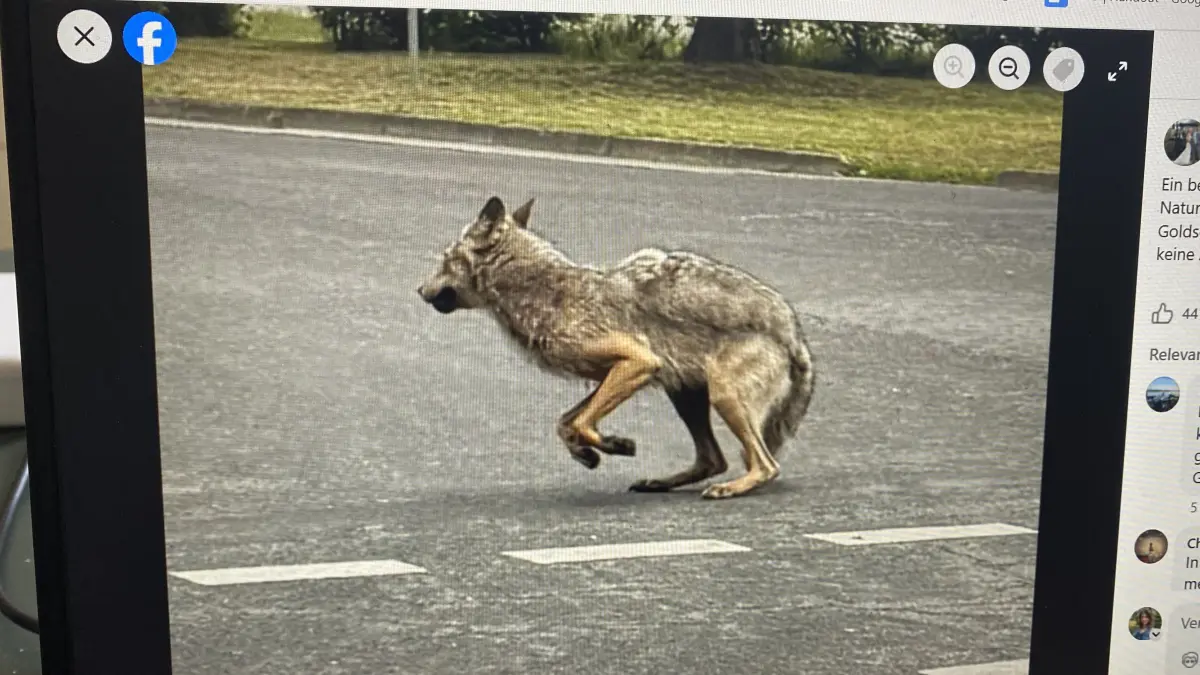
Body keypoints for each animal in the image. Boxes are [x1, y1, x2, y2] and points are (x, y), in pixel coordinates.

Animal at [417, 196, 815, 499]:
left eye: (444, 259)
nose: (419, 290)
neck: (543, 289)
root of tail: (794, 333)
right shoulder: (615, 373)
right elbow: (565, 422)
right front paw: (589, 452)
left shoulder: (639, 362)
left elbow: (581, 420)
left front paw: (611, 444)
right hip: (685, 393)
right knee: (713, 459)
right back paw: (660, 482)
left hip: (721, 394)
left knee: (765, 465)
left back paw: (731, 488)